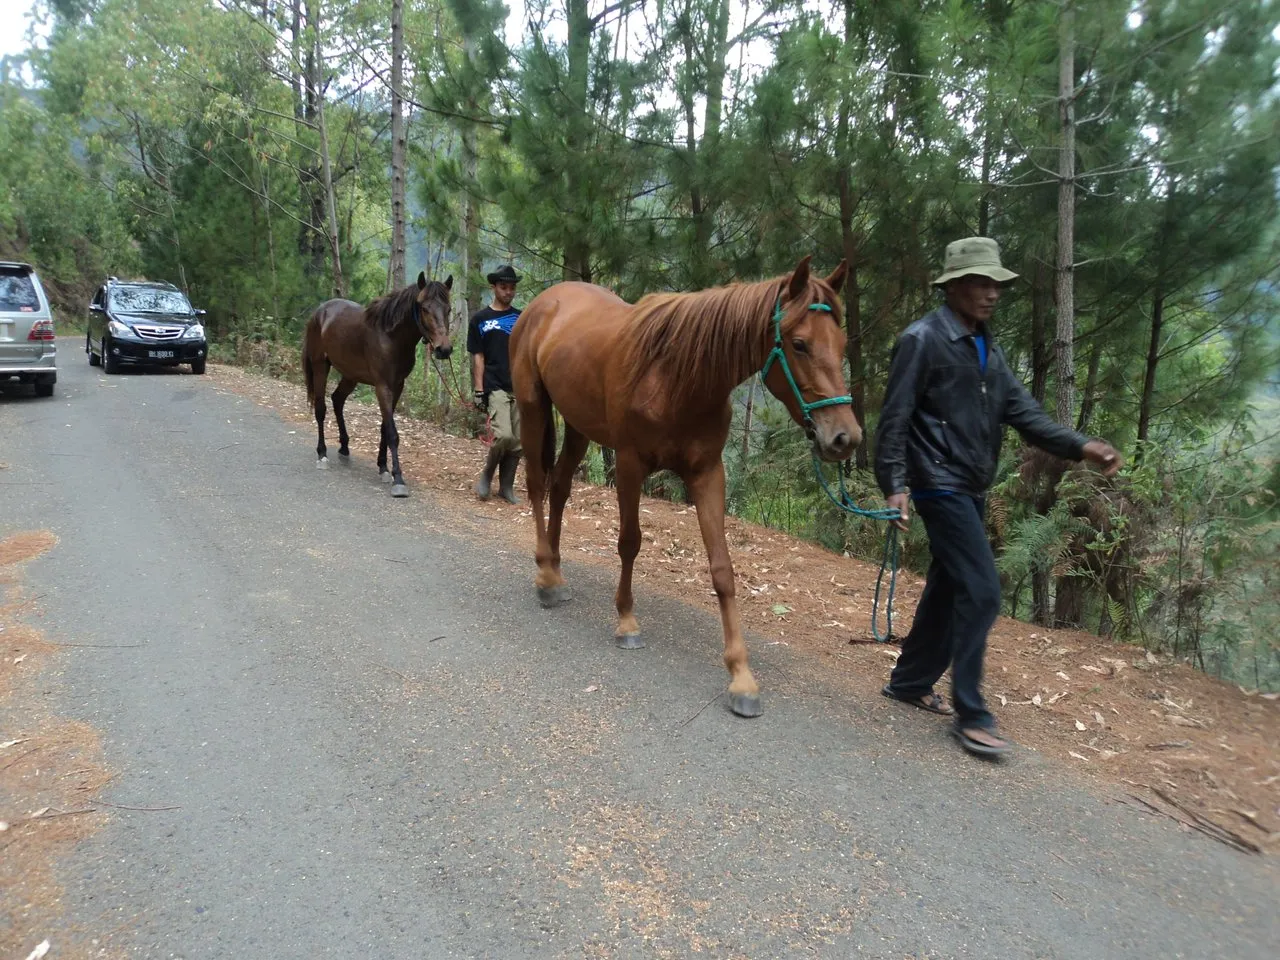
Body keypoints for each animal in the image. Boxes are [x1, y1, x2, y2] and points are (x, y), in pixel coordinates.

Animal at [302, 272, 453, 497]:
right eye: (425, 308)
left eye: (448, 309)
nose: (444, 349)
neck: (391, 337)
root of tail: (319, 312)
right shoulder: (383, 387)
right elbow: (392, 432)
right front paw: (398, 478)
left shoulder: (397, 386)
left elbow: (384, 427)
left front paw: (383, 467)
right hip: (320, 366)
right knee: (321, 408)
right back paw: (322, 454)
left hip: (350, 375)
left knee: (337, 400)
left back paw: (344, 448)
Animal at [509, 255, 860, 717]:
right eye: (799, 344)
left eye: (841, 344)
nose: (844, 438)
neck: (678, 377)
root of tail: (544, 303)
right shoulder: (630, 464)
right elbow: (630, 542)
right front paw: (626, 621)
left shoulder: (708, 473)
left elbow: (723, 568)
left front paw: (741, 675)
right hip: (533, 407)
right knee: (536, 483)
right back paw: (546, 579)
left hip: (579, 426)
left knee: (561, 486)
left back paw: (555, 569)